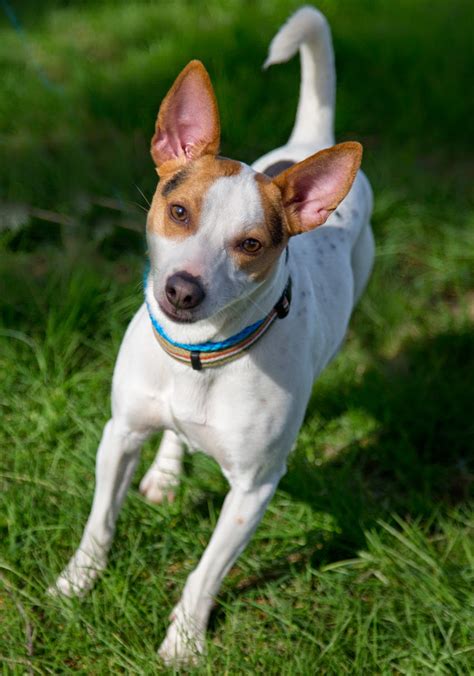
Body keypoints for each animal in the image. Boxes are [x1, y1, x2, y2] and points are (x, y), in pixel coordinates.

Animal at [49, 5, 374, 664]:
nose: (181, 290)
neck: (202, 357)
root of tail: (310, 142)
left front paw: (184, 641)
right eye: (179, 212)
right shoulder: (119, 434)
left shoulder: (253, 491)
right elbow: (99, 524)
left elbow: (206, 573)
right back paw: (168, 469)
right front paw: (76, 582)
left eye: (250, 244)